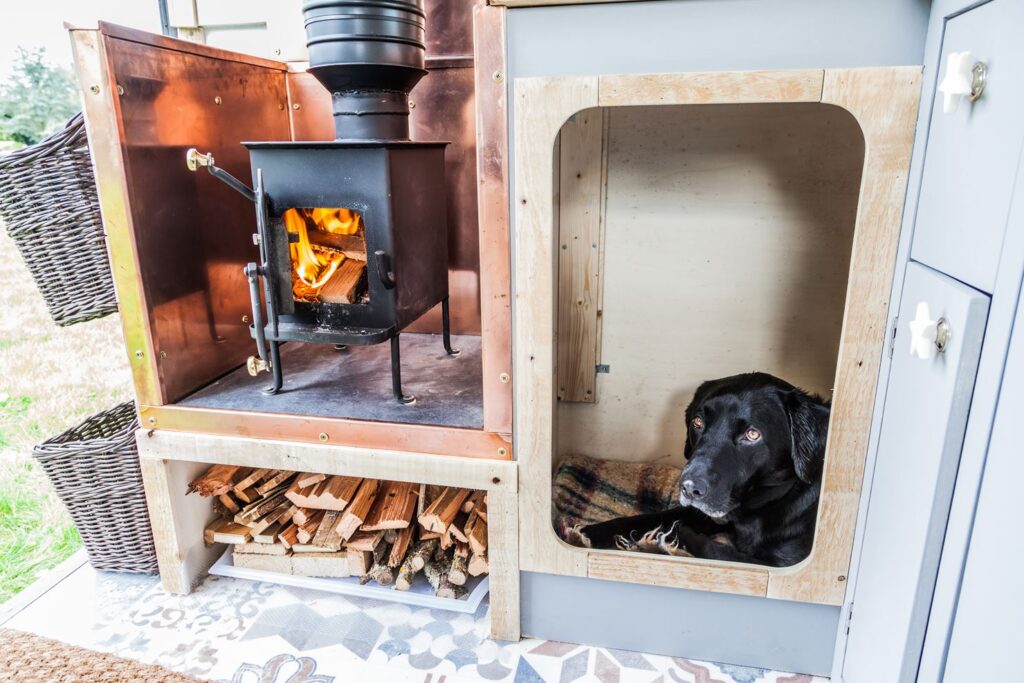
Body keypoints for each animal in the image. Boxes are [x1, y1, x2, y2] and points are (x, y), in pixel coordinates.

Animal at [581, 374, 827, 565]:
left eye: (752, 434)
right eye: (697, 422)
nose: (689, 488)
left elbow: (714, 549)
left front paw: (673, 535)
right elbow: (653, 516)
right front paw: (589, 533)